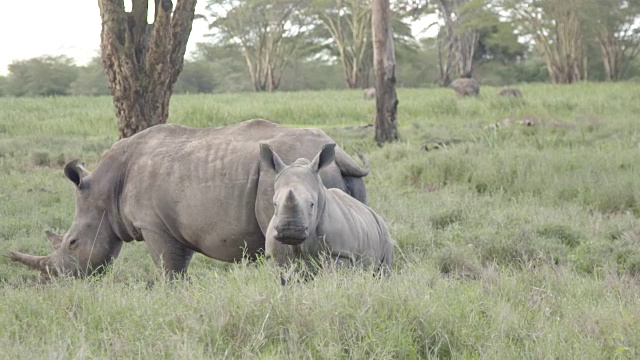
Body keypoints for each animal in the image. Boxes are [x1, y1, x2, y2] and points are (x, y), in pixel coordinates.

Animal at [10, 119, 370, 278]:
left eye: (72, 243)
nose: (60, 280)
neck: (104, 188)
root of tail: (339, 152)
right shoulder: (173, 226)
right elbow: (179, 266)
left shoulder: (153, 225)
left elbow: (168, 270)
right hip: (337, 177)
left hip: (294, 172)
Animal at [258, 142, 390, 274]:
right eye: (274, 204)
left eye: (312, 205)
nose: (290, 231)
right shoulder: (274, 255)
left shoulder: (340, 253)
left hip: (385, 235)